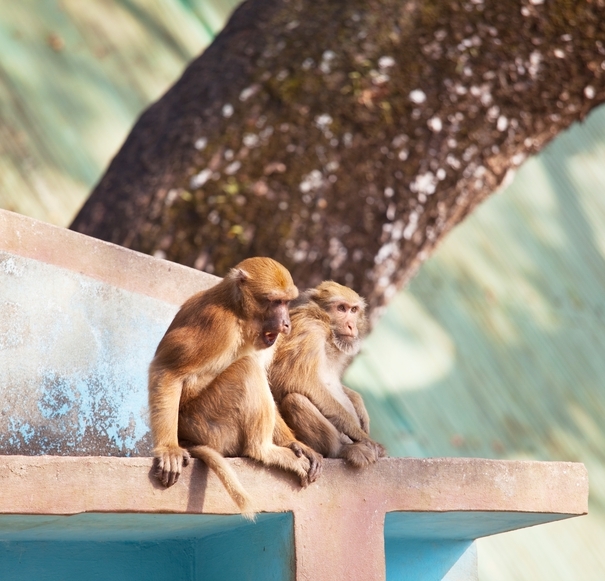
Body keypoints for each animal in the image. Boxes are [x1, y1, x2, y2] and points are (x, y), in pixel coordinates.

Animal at [147, 256, 320, 520]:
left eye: (286, 302)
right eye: (275, 302)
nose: (286, 324)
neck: (238, 312)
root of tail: (186, 435)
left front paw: (295, 444)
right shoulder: (218, 325)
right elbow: (167, 371)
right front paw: (168, 450)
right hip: (209, 425)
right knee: (247, 368)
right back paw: (263, 451)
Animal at [270, 280, 386, 466]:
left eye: (353, 310)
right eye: (341, 308)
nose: (351, 325)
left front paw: (357, 401)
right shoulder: (310, 331)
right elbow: (291, 379)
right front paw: (362, 436)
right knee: (296, 400)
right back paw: (341, 450)